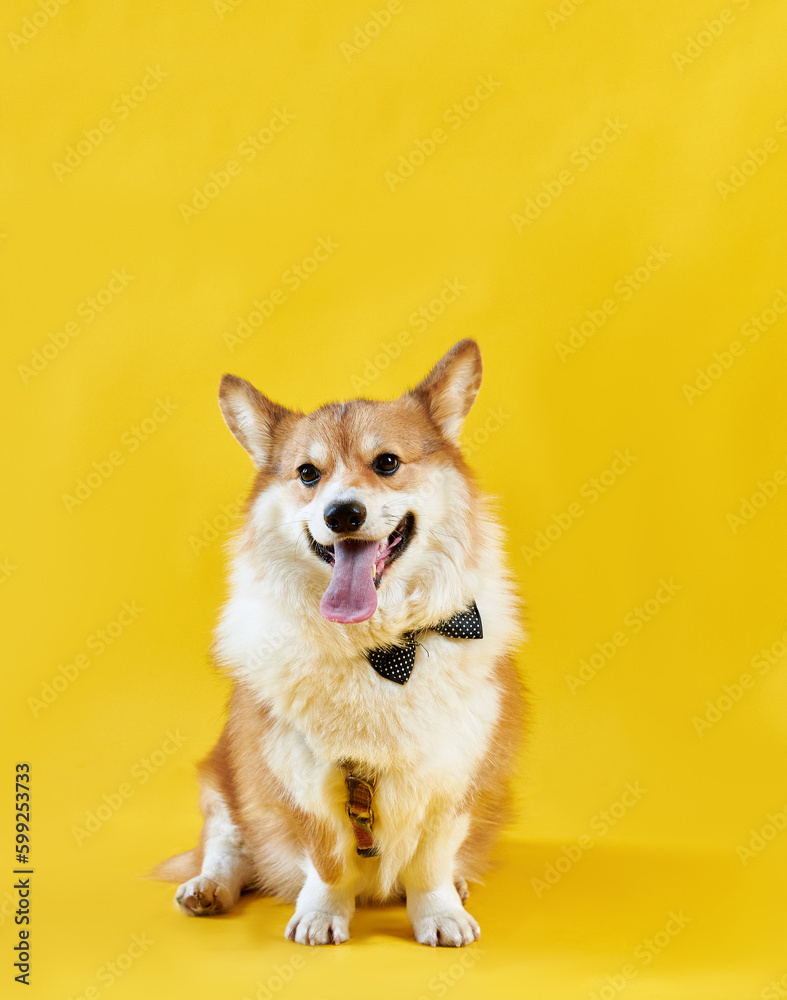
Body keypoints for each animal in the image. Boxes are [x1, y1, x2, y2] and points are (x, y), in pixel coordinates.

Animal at [155, 336, 524, 944]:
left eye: (388, 463)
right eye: (308, 473)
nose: (342, 513)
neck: (380, 651)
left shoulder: (453, 774)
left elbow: (431, 861)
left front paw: (441, 914)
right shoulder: (297, 777)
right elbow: (326, 860)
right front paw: (322, 916)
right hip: (221, 778)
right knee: (230, 846)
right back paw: (208, 888)